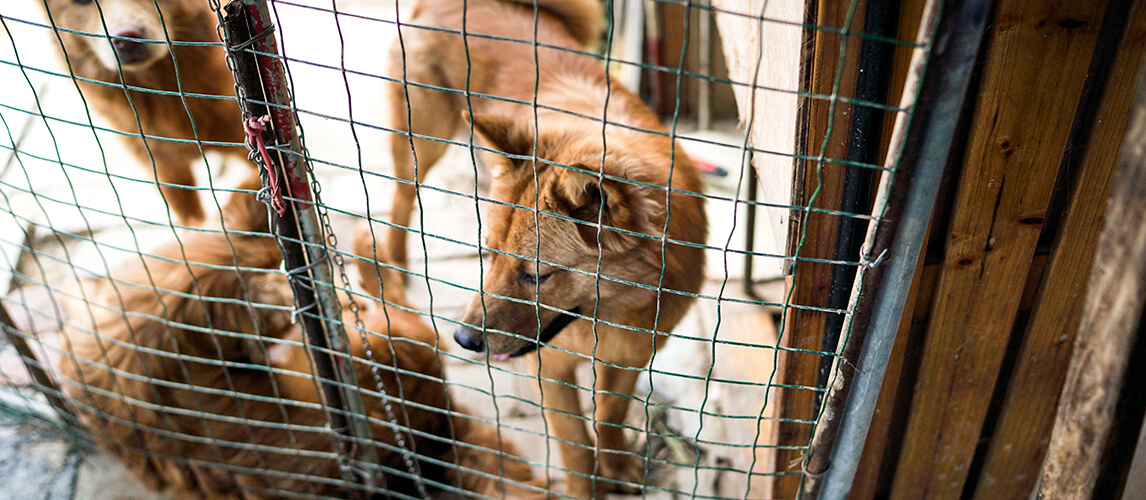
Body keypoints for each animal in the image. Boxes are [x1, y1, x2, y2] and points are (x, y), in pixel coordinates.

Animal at [385, 0, 705, 495]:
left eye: (536, 274)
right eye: (488, 253)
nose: (464, 340)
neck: (607, 313)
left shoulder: (633, 354)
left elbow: (608, 416)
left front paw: (617, 467)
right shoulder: (551, 368)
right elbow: (574, 447)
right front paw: (589, 487)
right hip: (421, 143)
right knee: (399, 204)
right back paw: (396, 265)